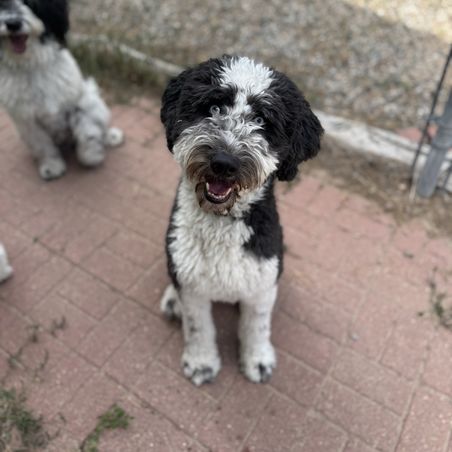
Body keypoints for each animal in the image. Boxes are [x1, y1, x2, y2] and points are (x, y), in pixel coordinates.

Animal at [0, 0, 123, 180]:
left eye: (31, 3)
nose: (13, 23)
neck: (30, 65)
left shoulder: (79, 103)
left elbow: (87, 132)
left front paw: (92, 155)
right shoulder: (27, 121)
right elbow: (42, 144)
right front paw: (52, 166)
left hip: (94, 99)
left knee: (101, 125)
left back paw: (109, 137)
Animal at [159, 56, 323, 385]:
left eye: (262, 120)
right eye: (213, 107)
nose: (224, 163)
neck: (222, 222)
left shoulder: (261, 284)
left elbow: (256, 327)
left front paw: (257, 360)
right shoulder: (191, 285)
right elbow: (198, 327)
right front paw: (201, 362)